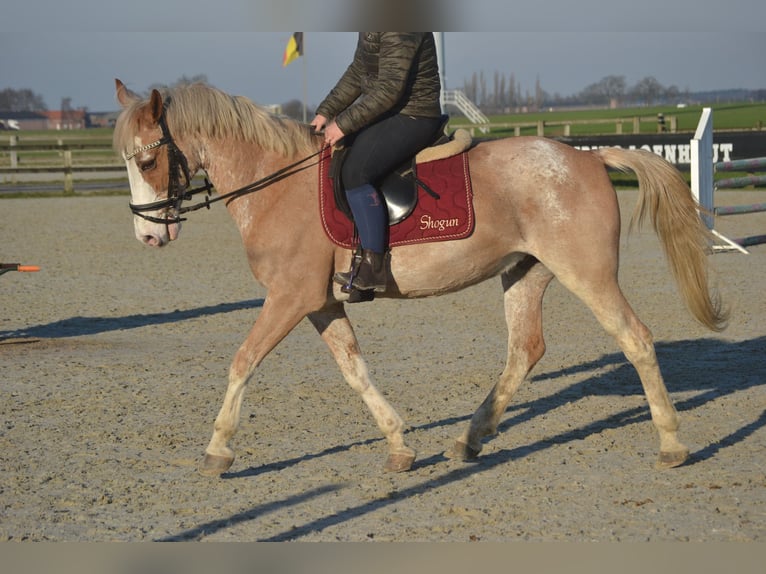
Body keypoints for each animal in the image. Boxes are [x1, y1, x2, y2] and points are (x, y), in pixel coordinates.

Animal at [115, 80, 732, 476]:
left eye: (146, 161)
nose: (147, 236)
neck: (276, 184)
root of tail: (588, 158)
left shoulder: (290, 298)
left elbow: (242, 361)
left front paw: (218, 449)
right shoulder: (319, 303)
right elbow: (355, 370)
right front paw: (398, 445)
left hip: (588, 274)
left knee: (635, 339)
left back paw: (671, 442)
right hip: (526, 273)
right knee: (525, 350)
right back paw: (470, 438)